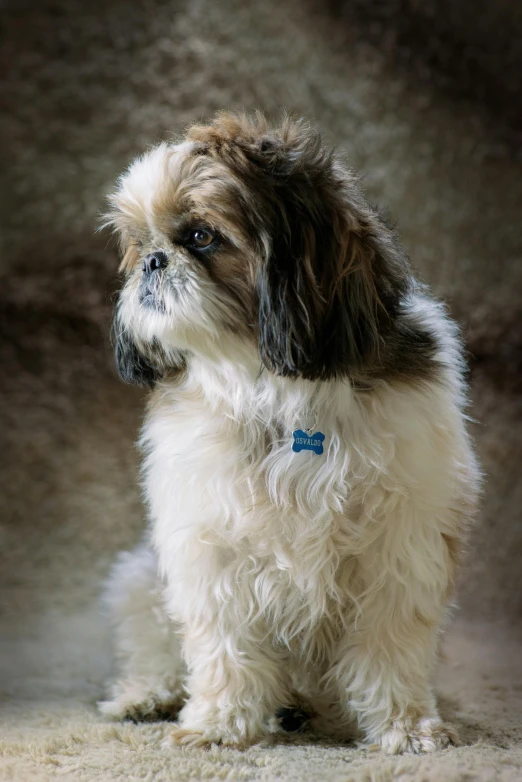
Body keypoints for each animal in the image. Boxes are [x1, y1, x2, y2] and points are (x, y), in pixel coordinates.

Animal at [98, 110, 480, 752]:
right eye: (139, 244)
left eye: (200, 237)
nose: (152, 262)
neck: (273, 390)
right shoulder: (212, 551)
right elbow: (224, 648)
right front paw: (218, 725)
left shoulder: (400, 550)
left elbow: (390, 648)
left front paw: (404, 726)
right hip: (140, 581)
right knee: (157, 653)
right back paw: (146, 696)